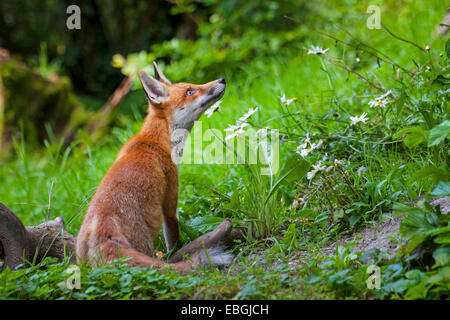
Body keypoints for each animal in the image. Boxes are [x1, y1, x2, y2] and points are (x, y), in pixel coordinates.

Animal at [76, 62, 230, 272]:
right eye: (190, 91)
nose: (222, 79)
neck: (154, 140)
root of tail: (101, 224)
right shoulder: (170, 199)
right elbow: (173, 236)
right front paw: (176, 250)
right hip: (144, 243)